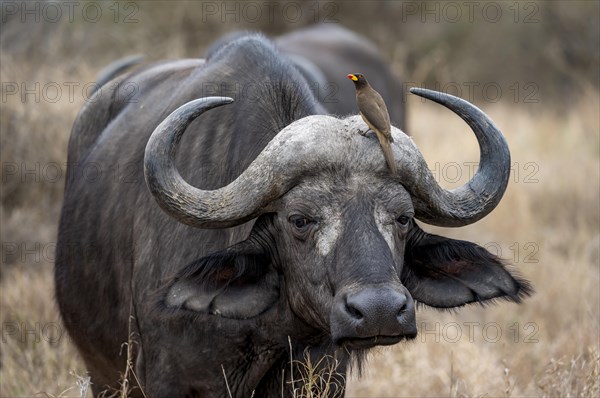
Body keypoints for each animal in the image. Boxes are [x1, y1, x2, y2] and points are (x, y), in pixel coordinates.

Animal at [54, 35, 528, 398]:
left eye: (404, 218)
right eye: (299, 220)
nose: (379, 310)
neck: (265, 332)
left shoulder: (322, 374)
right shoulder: (170, 378)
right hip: (104, 374)